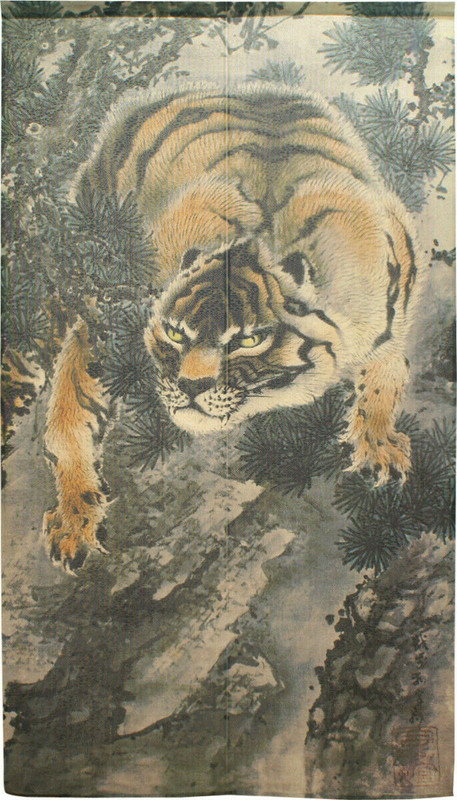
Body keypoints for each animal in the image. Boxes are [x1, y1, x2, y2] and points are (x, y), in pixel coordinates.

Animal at [43, 82, 423, 573]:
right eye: (175, 334)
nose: (189, 387)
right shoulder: (101, 330)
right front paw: (74, 520)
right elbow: (69, 416)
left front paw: (379, 449)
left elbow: (385, 382)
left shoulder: (389, 320)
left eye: (249, 340)